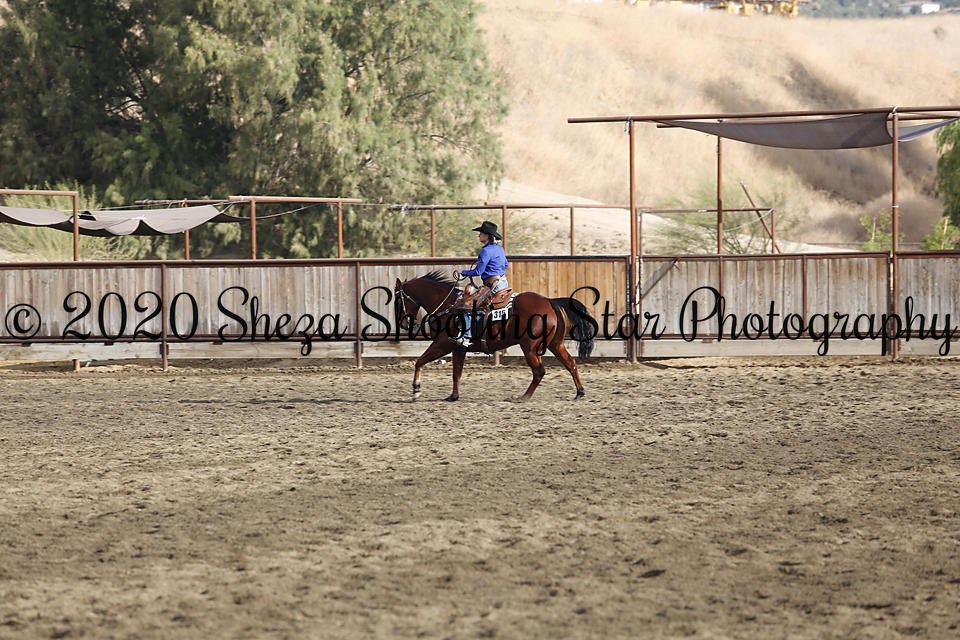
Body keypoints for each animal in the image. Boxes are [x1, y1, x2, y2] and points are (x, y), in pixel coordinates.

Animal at [394, 271, 596, 402]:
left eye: (397, 300)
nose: (403, 324)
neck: (448, 306)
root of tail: (549, 301)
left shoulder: (442, 344)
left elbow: (420, 361)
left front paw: (416, 390)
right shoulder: (458, 348)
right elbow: (456, 373)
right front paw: (453, 396)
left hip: (530, 348)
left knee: (539, 371)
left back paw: (524, 397)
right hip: (556, 344)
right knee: (570, 363)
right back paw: (579, 393)